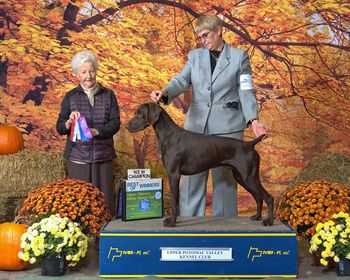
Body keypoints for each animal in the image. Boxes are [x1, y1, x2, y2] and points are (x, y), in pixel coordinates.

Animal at [124, 103, 274, 228]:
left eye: (139, 113)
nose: (125, 126)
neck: (168, 135)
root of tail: (250, 144)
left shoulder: (173, 175)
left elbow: (173, 201)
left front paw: (172, 222)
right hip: (241, 177)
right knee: (258, 197)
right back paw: (257, 216)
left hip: (249, 177)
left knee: (268, 197)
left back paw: (269, 221)